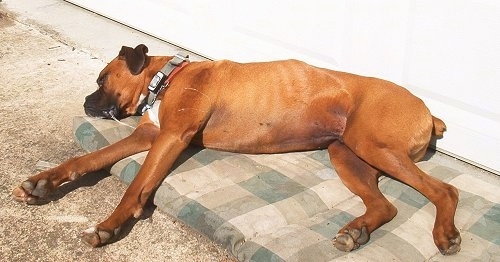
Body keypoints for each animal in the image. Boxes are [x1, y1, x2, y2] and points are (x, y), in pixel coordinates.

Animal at [10, 44, 460, 254]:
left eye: (103, 78)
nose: (87, 103)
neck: (167, 78)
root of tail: (429, 110)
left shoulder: (171, 138)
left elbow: (136, 185)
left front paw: (109, 225)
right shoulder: (149, 136)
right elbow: (87, 158)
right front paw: (42, 183)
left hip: (373, 145)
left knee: (446, 190)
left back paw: (445, 235)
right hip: (346, 153)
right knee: (385, 205)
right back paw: (356, 231)